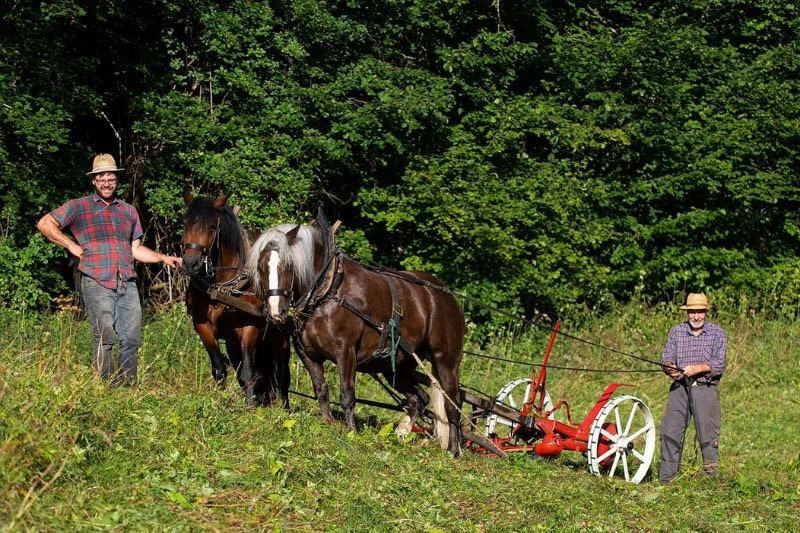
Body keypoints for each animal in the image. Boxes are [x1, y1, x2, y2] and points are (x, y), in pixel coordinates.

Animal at [181, 193, 290, 406]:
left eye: (212, 226)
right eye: (185, 223)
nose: (190, 263)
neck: (221, 287)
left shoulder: (249, 328)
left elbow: (248, 372)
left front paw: (251, 407)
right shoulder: (202, 324)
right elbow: (219, 368)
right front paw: (218, 401)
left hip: (280, 338)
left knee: (282, 376)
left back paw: (284, 408)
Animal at [247, 213, 466, 454]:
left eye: (287, 265)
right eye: (260, 267)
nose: (276, 312)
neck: (328, 290)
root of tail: (444, 294)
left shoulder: (346, 350)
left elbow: (347, 394)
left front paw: (351, 432)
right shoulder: (307, 354)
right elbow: (321, 390)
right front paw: (328, 424)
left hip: (446, 361)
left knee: (453, 404)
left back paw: (454, 450)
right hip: (396, 365)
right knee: (419, 398)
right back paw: (402, 432)